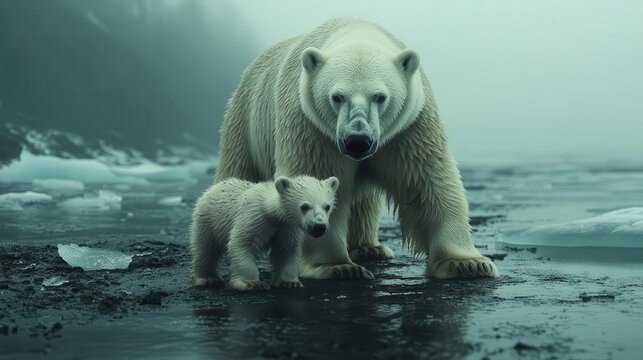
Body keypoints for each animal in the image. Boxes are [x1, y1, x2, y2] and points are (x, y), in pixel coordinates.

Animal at [191, 176, 342, 292]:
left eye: (327, 206)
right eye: (304, 206)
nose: (319, 227)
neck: (269, 210)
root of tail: (215, 186)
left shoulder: (286, 228)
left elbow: (286, 249)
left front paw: (289, 282)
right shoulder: (254, 218)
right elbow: (242, 243)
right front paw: (252, 283)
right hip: (208, 219)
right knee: (206, 248)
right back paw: (208, 278)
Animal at [214, 16, 500, 280]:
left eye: (380, 96)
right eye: (337, 96)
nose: (357, 140)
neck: (355, 30)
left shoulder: (408, 127)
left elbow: (425, 179)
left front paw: (467, 263)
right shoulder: (313, 128)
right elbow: (316, 176)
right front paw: (337, 267)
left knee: (365, 200)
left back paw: (369, 248)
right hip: (245, 121)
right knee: (239, 173)